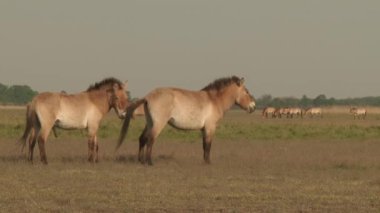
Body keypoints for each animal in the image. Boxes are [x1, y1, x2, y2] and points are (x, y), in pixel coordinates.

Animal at [117, 75, 256, 166]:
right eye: (246, 91)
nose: (253, 106)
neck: (214, 100)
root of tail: (147, 97)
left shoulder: (204, 129)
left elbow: (204, 146)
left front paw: (204, 161)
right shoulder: (210, 127)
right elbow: (208, 145)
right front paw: (208, 162)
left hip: (150, 123)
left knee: (142, 139)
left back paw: (141, 161)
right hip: (158, 124)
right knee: (151, 140)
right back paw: (149, 162)